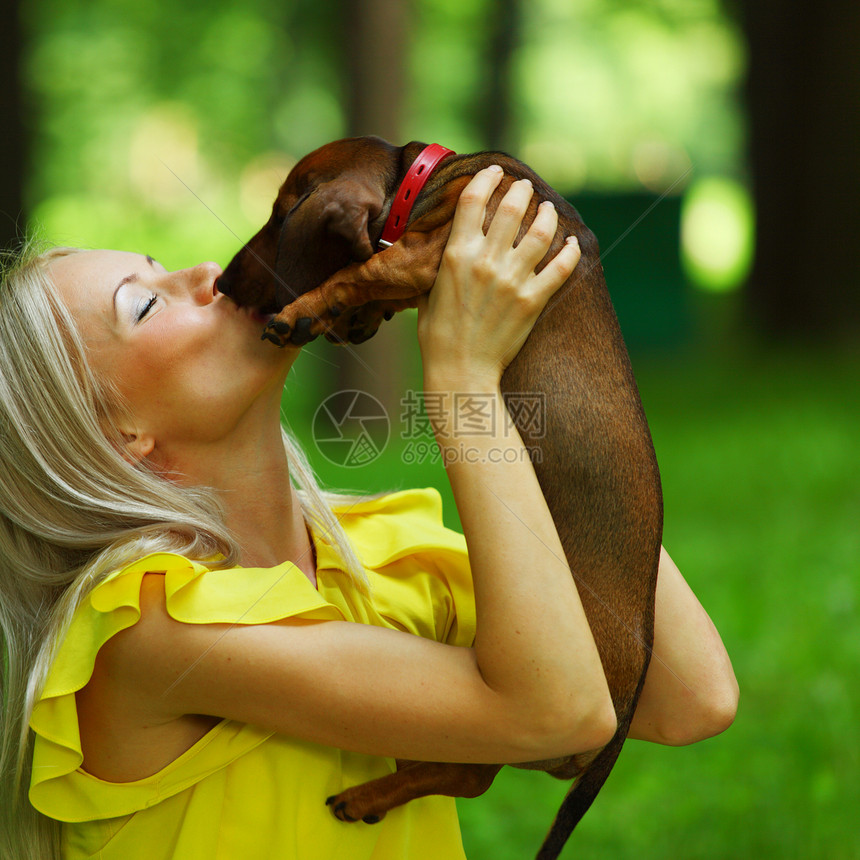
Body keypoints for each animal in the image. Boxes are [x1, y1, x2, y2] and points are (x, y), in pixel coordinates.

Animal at [218, 136, 660, 860]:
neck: (425, 179)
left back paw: (369, 794)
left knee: (470, 775)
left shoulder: (429, 254)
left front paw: (303, 309)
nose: (222, 286)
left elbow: (363, 271)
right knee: (469, 775)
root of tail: (623, 717)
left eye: (281, 216)